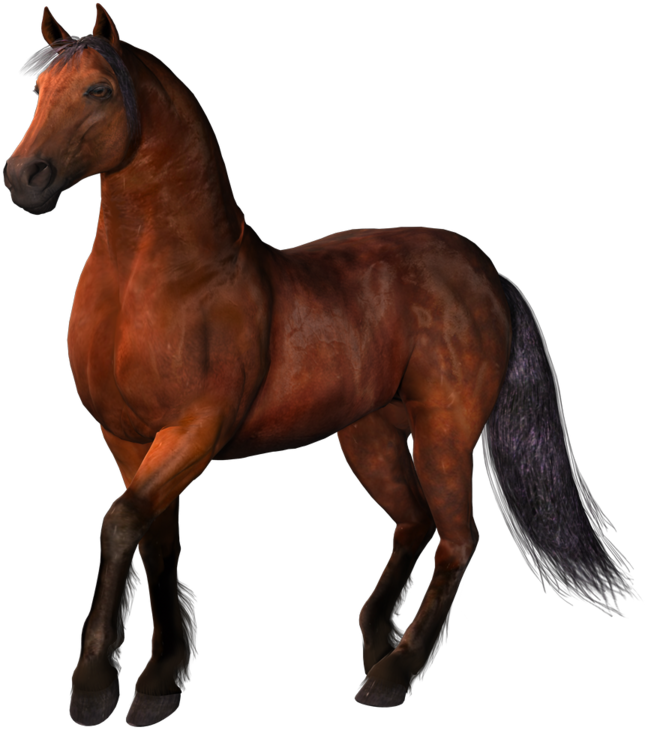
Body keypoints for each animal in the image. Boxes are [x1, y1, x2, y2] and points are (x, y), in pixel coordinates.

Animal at [4, 4, 631, 726]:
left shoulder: (195, 431)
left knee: (457, 539)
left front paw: (93, 682)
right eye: (38, 91)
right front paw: (160, 678)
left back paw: (392, 671)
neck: (161, 280)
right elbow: (154, 540)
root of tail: (487, 275)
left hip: (443, 434)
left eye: (99, 89)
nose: (23, 177)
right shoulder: (125, 438)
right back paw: (374, 636)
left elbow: (117, 523)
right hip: (368, 435)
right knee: (413, 523)